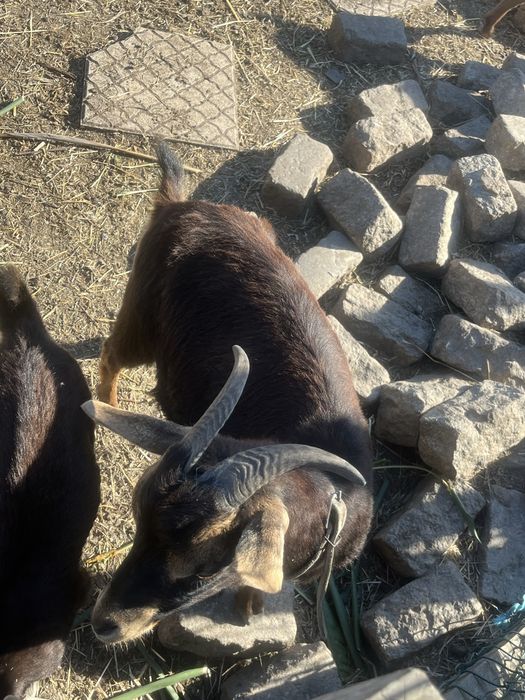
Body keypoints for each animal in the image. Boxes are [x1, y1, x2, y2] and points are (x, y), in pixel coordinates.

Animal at [83, 143, 373, 644]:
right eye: (137, 525)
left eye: (204, 569)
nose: (104, 625)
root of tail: (182, 203)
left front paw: (249, 606)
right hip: (141, 310)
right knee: (111, 353)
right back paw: (110, 404)